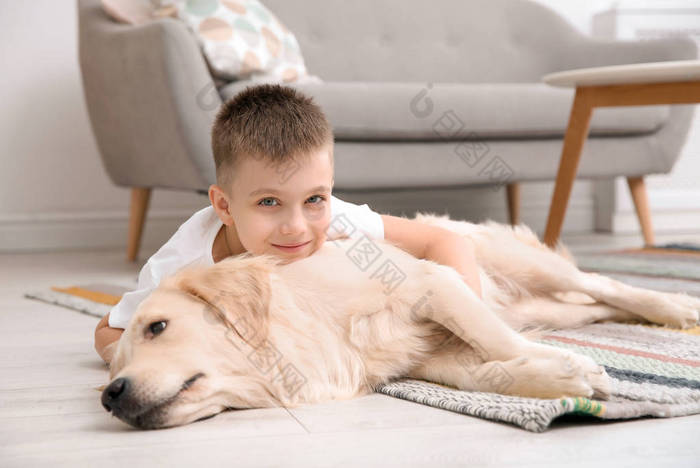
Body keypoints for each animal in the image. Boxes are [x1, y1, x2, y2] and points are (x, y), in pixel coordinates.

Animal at [102, 215, 700, 428]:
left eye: (158, 327)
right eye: (113, 367)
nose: (111, 395)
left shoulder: (433, 284)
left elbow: (495, 341)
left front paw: (574, 367)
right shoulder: (427, 356)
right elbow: (490, 369)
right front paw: (560, 374)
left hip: (521, 264)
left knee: (603, 284)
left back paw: (677, 309)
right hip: (539, 304)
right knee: (594, 306)